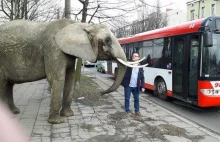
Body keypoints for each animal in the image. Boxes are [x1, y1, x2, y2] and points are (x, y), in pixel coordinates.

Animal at [0, 18, 146, 123]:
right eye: (108, 41)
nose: (101, 92)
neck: (80, 25)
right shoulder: (53, 49)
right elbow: (57, 79)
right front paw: (57, 122)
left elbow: (69, 78)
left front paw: (68, 115)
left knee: (8, 85)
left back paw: (15, 112)